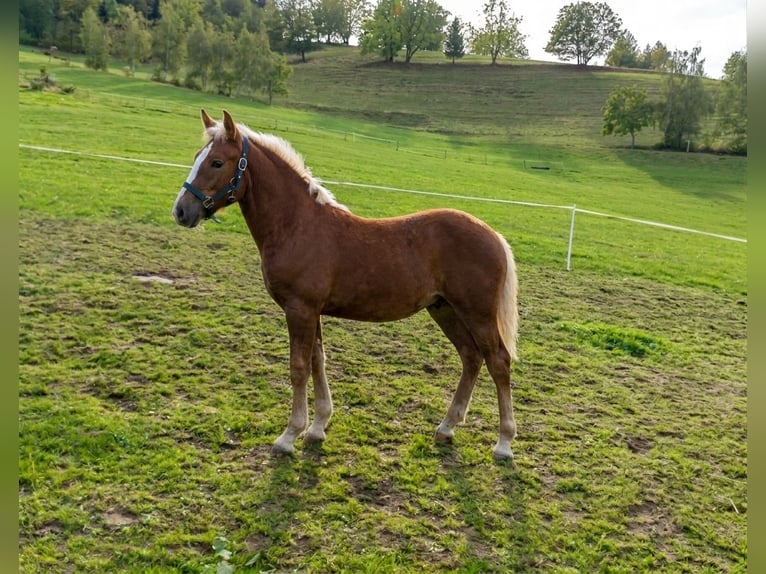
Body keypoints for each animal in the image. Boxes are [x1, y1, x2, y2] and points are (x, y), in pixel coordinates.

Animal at [172, 109, 520, 460]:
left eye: (216, 162)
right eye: (197, 156)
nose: (181, 211)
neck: (297, 225)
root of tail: (494, 235)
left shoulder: (300, 309)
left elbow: (299, 366)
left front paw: (289, 436)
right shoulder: (312, 312)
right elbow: (318, 361)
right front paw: (317, 428)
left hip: (477, 313)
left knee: (498, 361)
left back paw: (503, 443)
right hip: (444, 309)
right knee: (471, 357)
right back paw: (447, 428)